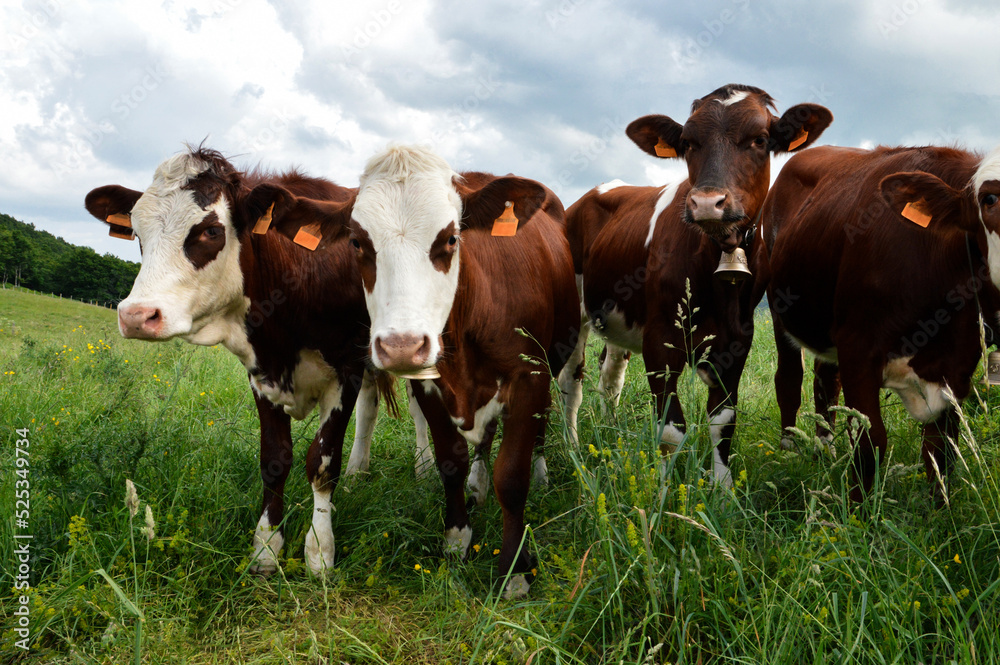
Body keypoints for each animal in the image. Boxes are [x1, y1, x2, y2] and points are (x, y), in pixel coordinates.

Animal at [83, 147, 402, 576]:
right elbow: (274, 459)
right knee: (370, 407)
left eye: (210, 231)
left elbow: (321, 464)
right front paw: (266, 547)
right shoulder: (261, 375)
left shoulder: (346, 370)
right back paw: (358, 472)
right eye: (136, 232)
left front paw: (320, 551)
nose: (136, 315)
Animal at [258, 144, 580, 596]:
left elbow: (513, 478)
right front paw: (457, 538)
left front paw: (515, 570)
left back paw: (540, 473)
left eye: (451, 238)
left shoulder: (528, 378)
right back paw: (478, 488)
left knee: (545, 422)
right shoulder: (433, 385)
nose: (402, 346)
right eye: (357, 242)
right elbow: (451, 461)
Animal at [568, 85, 832, 486]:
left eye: (759, 140)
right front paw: (663, 490)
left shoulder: (737, 340)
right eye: (689, 143)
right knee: (572, 382)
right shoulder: (659, 339)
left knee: (610, 378)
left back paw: (611, 436)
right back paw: (571, 449)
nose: (707, 202)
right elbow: (669, 429)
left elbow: (723, 421)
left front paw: (722, 488)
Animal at [756, 143, 1000, 500]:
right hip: (780, 308)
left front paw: (939, 509)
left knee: (825, 380)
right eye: (990, 199)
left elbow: (941, 451)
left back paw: (825, 451)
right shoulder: (858, 347)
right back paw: (790, 451)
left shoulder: (958, 365)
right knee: (789, 379)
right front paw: (859, 509)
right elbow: (869, 442)